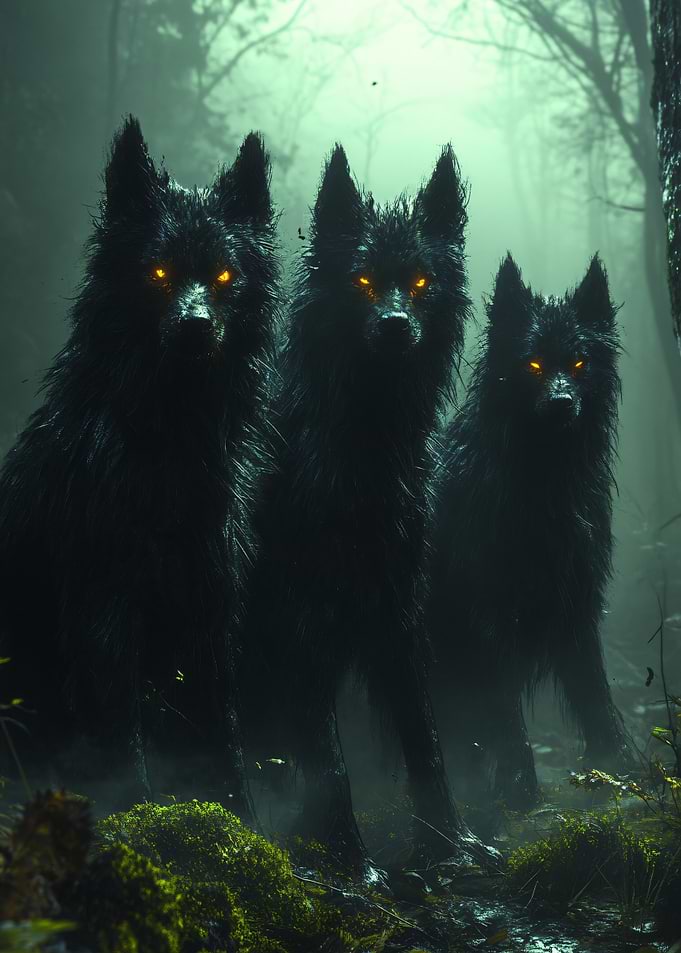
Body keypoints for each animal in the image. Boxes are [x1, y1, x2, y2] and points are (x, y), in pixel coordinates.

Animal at [0, 117, 278, 812]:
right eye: (157, 271)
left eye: (224, 277)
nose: (196, 328)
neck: (167, 448)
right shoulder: (102, 612)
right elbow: (121, 739)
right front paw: (137, 812)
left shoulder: (209, 609)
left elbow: (222, 737)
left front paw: (242, 820)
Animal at [243, 144, 495, 881]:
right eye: (361, 281)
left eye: (419, 282)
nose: (394, 326)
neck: (362, 448)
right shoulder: (299, 624)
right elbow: (329, 761)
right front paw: (350, 863)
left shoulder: (396, 613)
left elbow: (425, 738)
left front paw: (449, 847)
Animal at [428, 254, 628, 810]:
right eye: (534, 365)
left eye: (578, 364)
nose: (561, 402)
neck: (543, 484)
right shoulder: (488, 614)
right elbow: (503, 710)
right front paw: (519, 785)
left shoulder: (578, 602)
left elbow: (594, 692)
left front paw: (619, 770)